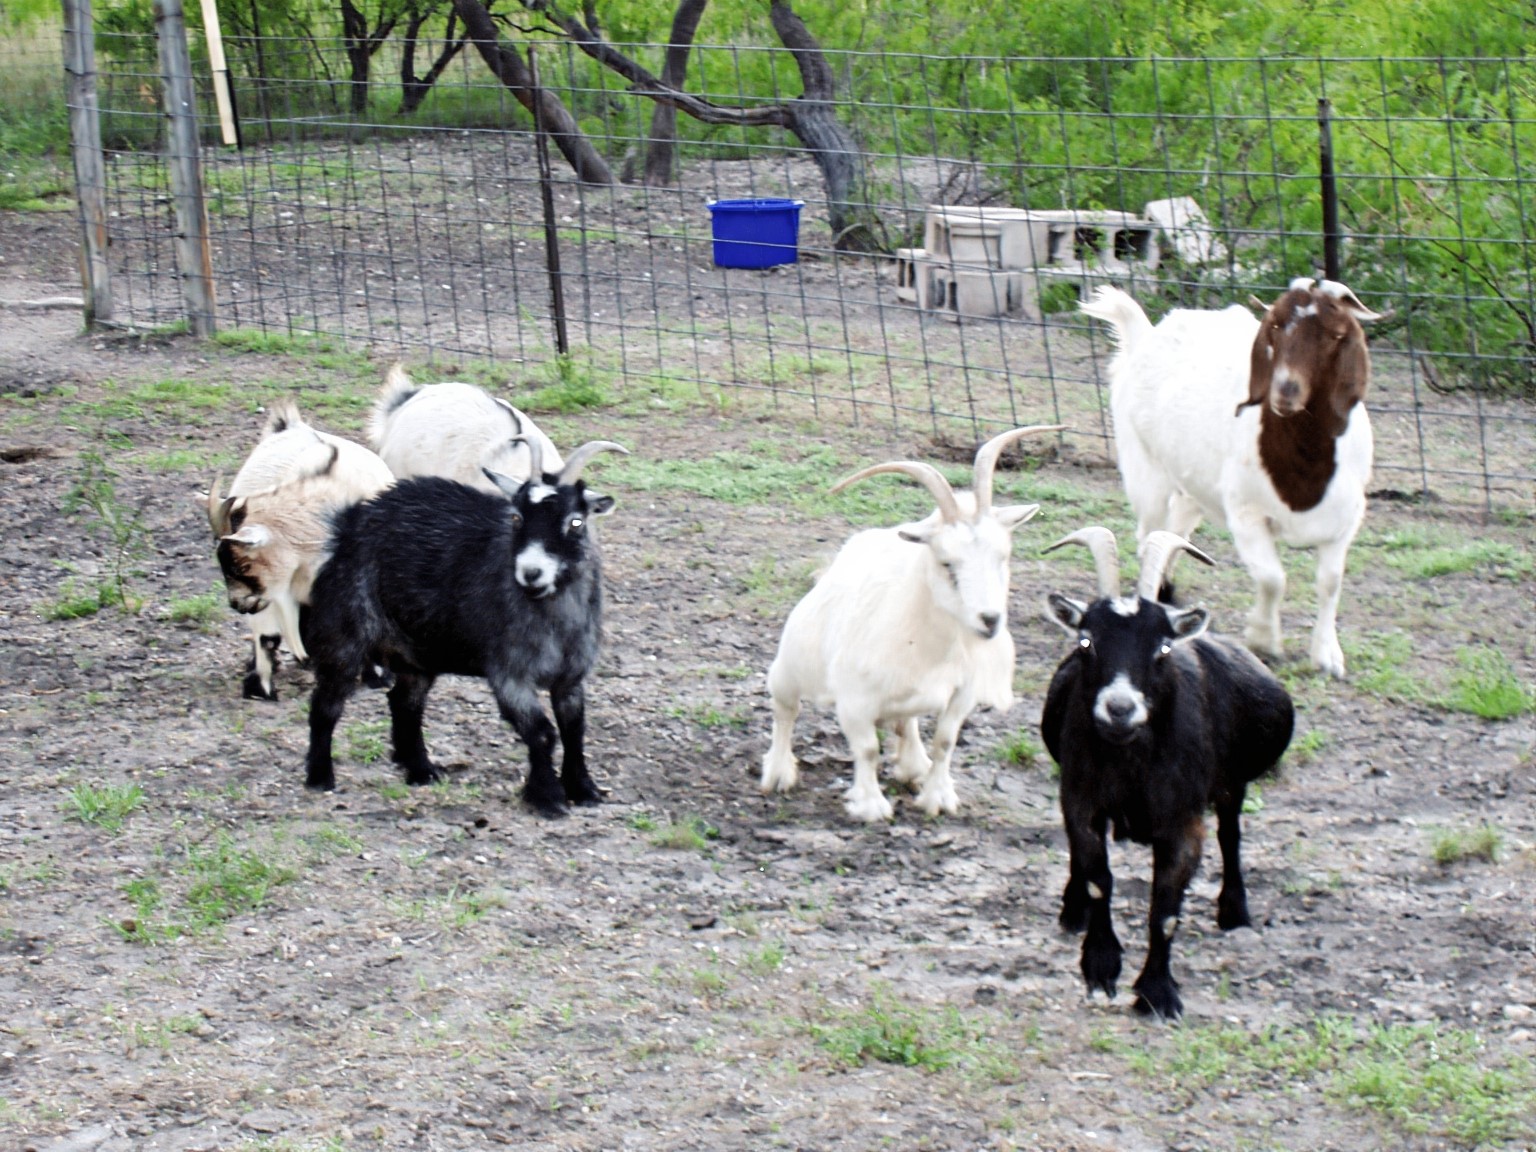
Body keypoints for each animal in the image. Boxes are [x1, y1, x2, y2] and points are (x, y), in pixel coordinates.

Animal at [205, 403, 394, 699]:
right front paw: (259, 685)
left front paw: (377, 675)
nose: (237, 604)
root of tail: (290, 425)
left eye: (242, 565)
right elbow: (267, 635)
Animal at [300, 435, 627, 816]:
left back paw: (421, 770)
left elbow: (574, 729)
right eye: (516, 516)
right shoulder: (509, 674)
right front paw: (547, 797)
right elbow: (543, 732)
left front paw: (584, 789)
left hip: (416, 652)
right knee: (326, 704)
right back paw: (320, 776)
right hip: (345, 634)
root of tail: (349, 524)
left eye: (576, 522)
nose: (531, 573)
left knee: (405, 702)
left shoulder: (571, 677)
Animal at [761, 426, 1060, 822]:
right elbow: (867, 749)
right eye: (947, 563)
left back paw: (913, 766)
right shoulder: (854, 699)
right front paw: (870, 806)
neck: (929, 644)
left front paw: (938, 797)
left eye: (1003, 557)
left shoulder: (962, 693)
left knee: (908, 722)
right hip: (787, 670)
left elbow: (945, 741)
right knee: (786, 712)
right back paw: (779, 773)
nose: (990, 620)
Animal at [1042, 527, 1294, 1019]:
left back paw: (1234, 912)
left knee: (1231, 833)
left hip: (1232, 785)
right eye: (1086, 641)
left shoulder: (1183, 821)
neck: (1130, 765)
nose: (1120, 708)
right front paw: (1100, 967)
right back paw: (1072, 909)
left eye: (1161, 647)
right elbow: (1099, 878)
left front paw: (1157, 993)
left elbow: (1166, 905)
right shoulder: (1081, 800)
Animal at [1079, 278, 1381, 677]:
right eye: (1274, 326)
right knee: (1150, 533)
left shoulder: (1345, 520)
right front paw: (1263, 639)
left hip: (1194, 482)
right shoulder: (1246, 513)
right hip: (1145, 469)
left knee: (1176, 529)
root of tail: (1145, 334)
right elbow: (1272, 578)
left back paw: (1167, 593)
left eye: (1335, 335)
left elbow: (1330, 583)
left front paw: (1327, 656)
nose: (1285, 391)